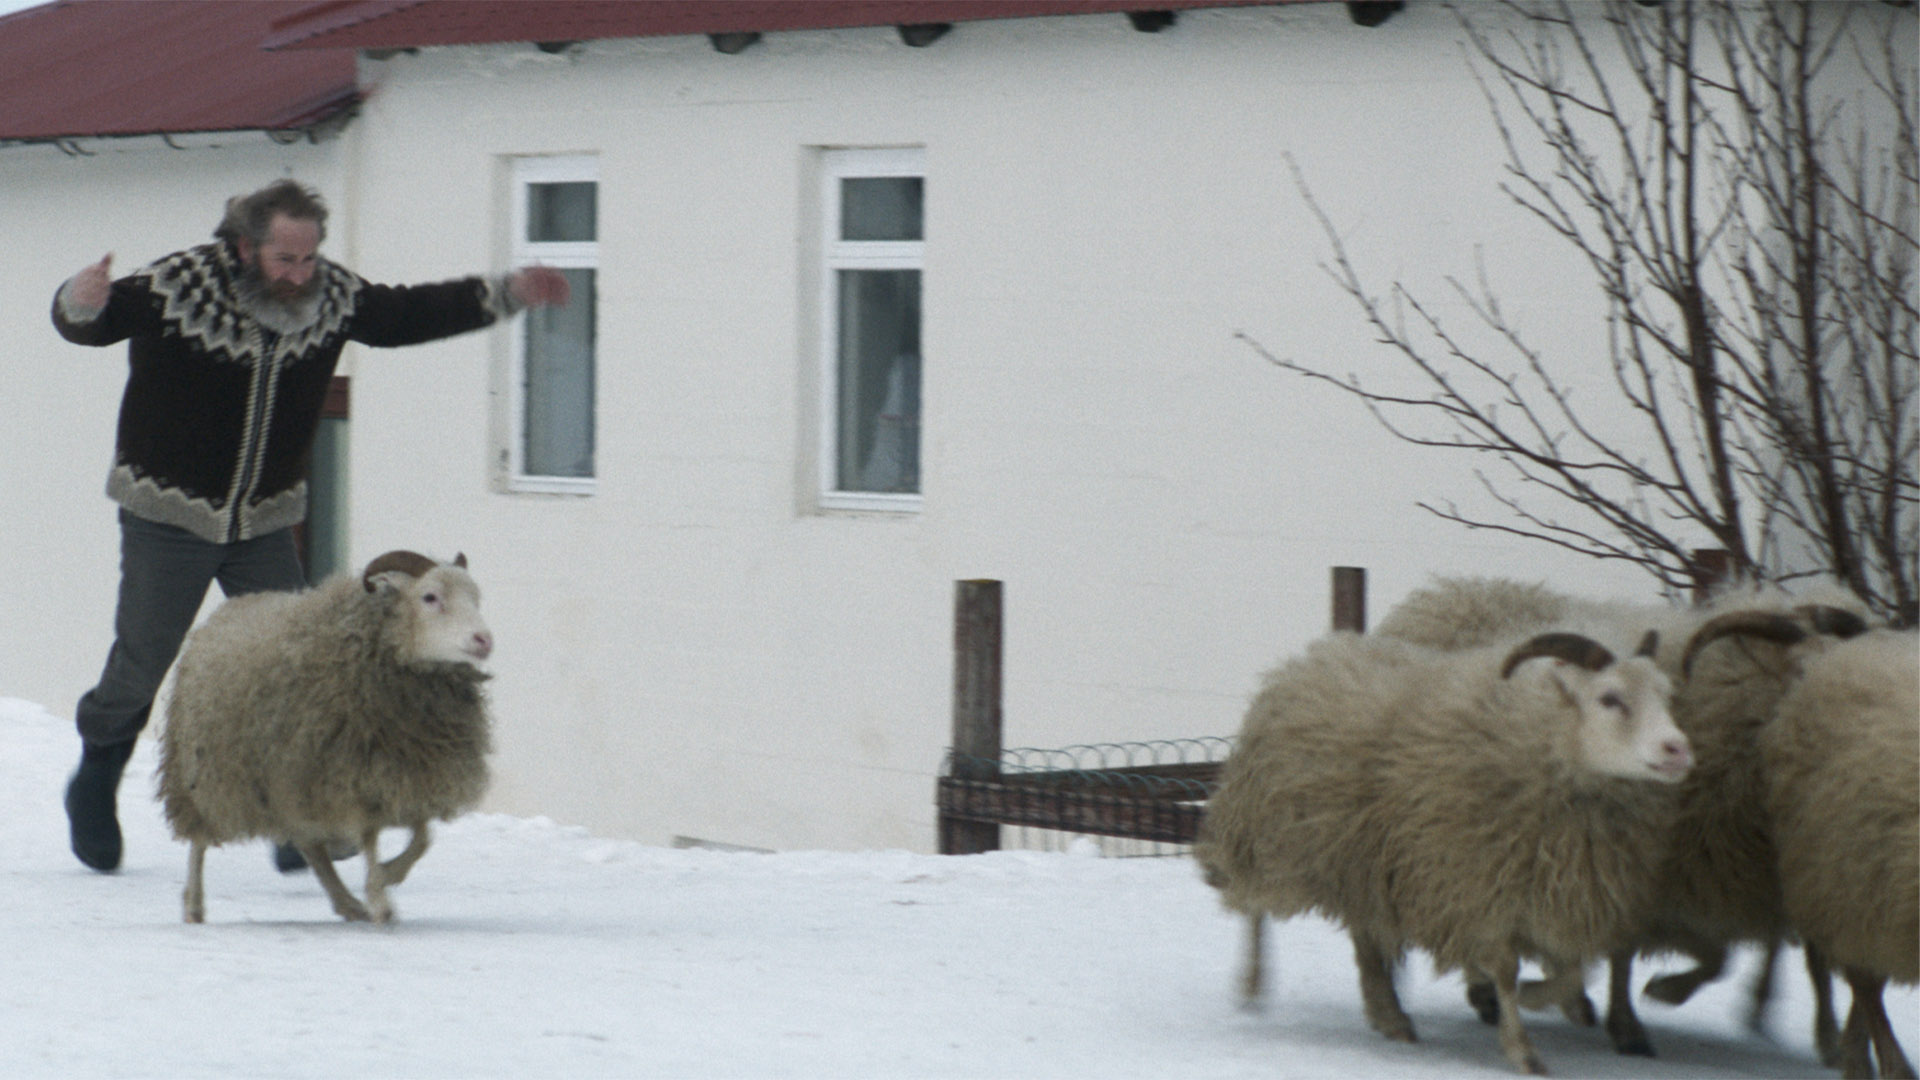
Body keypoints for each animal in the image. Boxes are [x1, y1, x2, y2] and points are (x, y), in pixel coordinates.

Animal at [157, 549, 495, 922]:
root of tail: (219, 616)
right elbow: (372, 836)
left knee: (311, 846)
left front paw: (388, 875)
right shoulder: (351, 773)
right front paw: (381, 896)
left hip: (290, 783)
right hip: (201, 772)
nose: (484, 640)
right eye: (430, 597)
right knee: (199, 840)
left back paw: (347, 902)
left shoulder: (407, 771)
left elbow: (423, 836)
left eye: (476, 598)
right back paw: (193, 905)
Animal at [1198, 622, 1697, 1068]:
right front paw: (1523, 1048)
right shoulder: (1478, 886)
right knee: (1254, 909)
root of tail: (1316, 652)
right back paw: (1252, 983)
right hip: (1268, 833)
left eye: (1665, 695)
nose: (1678, 749)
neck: (1545, 740)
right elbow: (1506, 969)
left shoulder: (1554, 888)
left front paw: (1546, 999)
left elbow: (1577, 968)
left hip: (1362, 858)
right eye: (1610, 698)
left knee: (1365, 934)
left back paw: (1389, 1014)